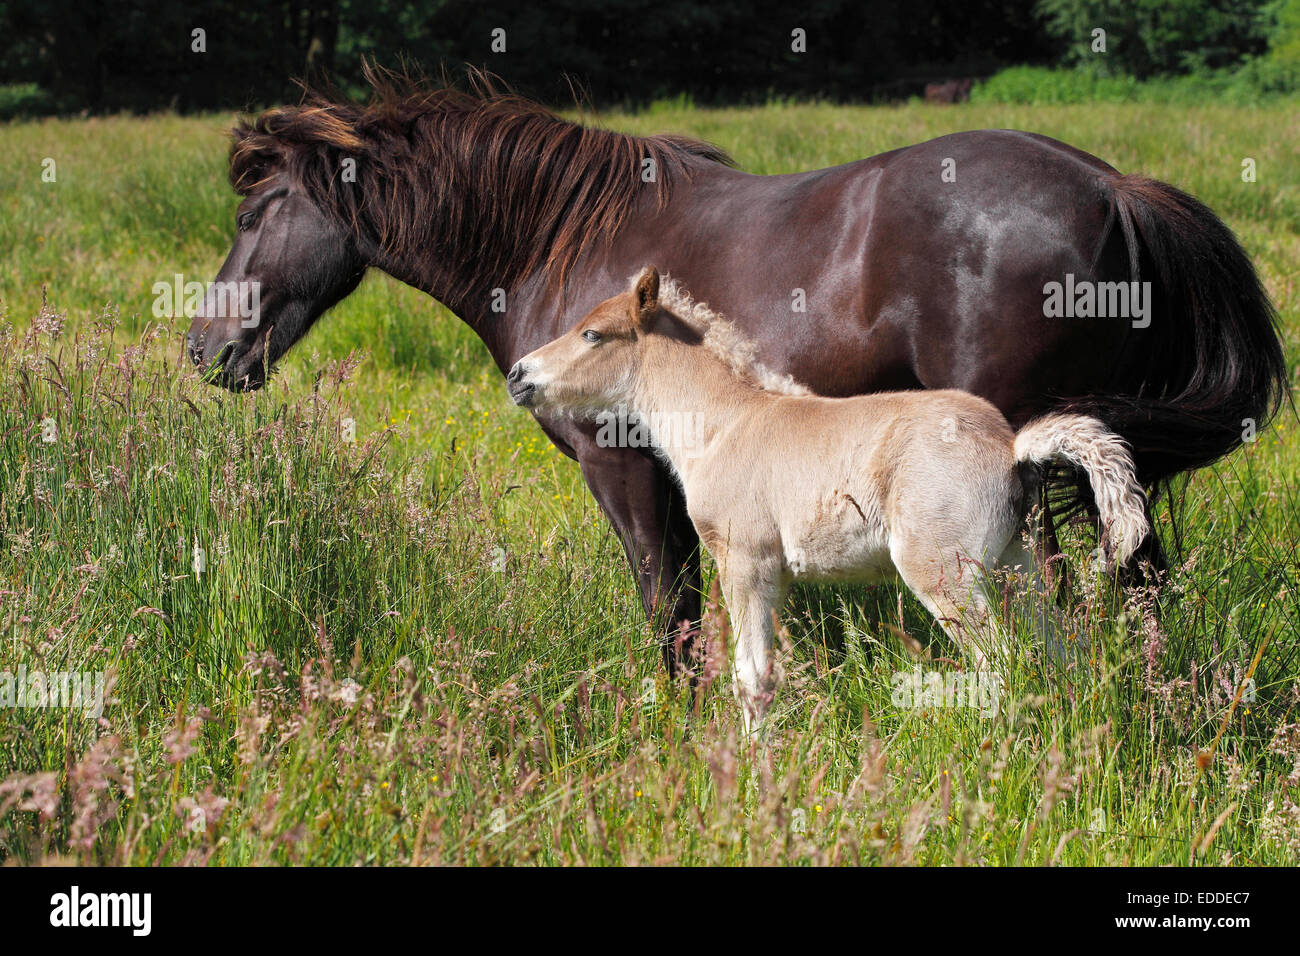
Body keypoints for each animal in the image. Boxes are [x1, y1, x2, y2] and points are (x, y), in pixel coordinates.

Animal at [185, 69, 1289, 671]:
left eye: (252, 212)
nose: (203, 349)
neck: (558, 238)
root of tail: (1112, 188)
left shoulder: (622, 470)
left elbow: (667, 607)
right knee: (1140, 576)